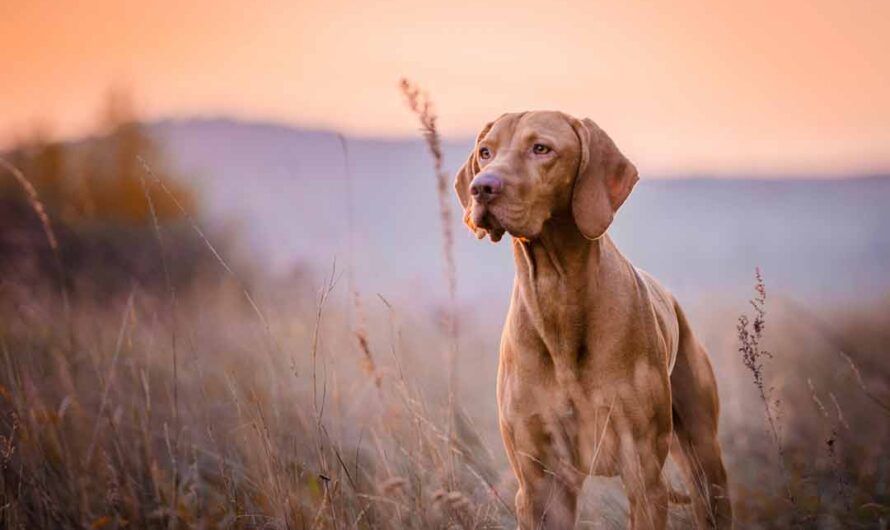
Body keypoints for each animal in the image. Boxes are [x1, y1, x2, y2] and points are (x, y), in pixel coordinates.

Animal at [454, 111, 732, 528]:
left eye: (541, 148)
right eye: (485, 152)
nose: (481, 188)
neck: (557, 295)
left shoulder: (643, 474)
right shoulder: (539, 485)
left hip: (705, 462)